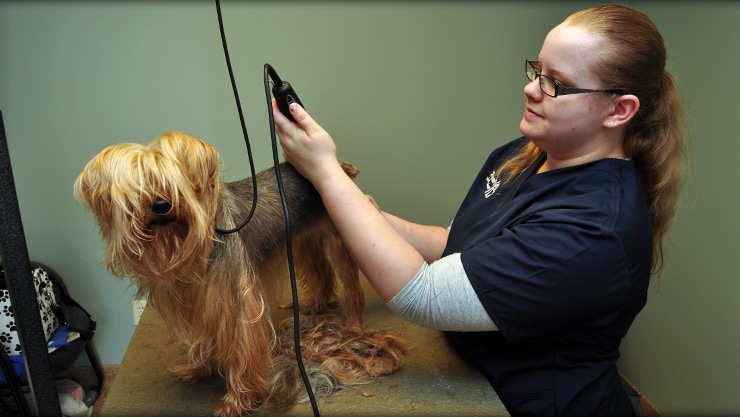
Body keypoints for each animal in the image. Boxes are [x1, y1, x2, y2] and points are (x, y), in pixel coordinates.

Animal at [75, 132, 404, 414]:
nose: (161, 205)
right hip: (299, 239)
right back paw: (315, 305)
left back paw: (355, 326)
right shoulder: (200, 300)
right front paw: (199, 367)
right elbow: (204, 338)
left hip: (342, 236)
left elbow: (244, 350)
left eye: (175, 184)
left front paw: (237, 400)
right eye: (138, 187)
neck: (183, 242)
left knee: (350, 284)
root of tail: (337, 167)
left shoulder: (239, 302)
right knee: (320, 272)